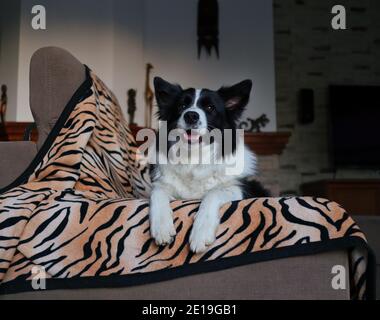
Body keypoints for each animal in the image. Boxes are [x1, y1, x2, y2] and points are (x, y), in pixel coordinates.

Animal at [148, 77, 268, 252]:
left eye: (210, 107)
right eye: (181, 106)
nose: (191, 115)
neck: (194, 157)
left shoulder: (242, 189)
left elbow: (213, 193)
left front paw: (201, 232)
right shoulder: (163, 185)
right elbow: (157, 191)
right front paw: (162, 227)